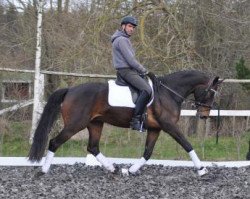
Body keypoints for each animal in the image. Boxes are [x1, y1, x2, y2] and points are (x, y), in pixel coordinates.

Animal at [28, 70, 223, 176]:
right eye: (210, 93)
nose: (204, 116)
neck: (168, 93)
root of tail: (70, 90)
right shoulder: (169, 126)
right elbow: (187, 144)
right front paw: (202, 169)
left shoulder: (155, 128)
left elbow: (148, 152)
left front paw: (130, 170)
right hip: (75, 124)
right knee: (54, 142)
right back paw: (43, 171)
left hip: (95, 124)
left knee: (93, 147)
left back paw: (113, 169)